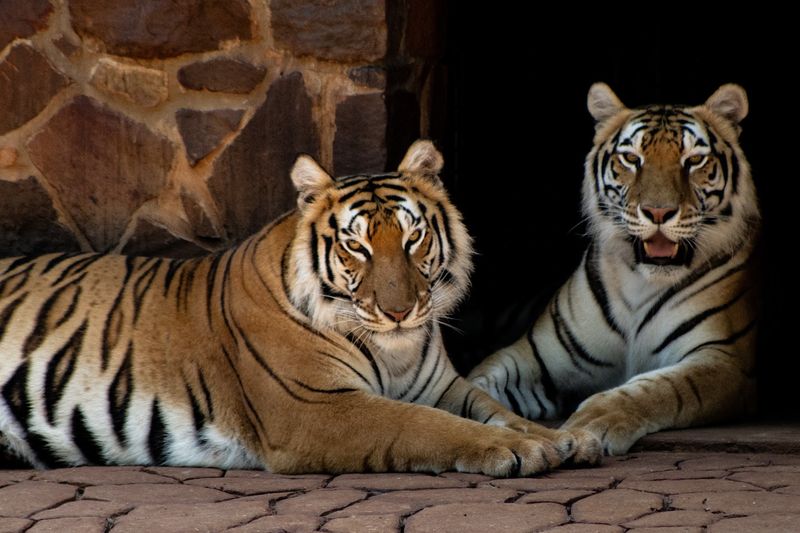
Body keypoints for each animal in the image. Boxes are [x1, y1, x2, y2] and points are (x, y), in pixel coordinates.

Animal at [0, 140, 599, 475]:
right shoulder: (317, 407)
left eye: (412, 239)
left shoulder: (443, 386)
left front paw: (562, 438)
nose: (399, 311)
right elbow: (426, 425)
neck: (396, 350)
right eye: (357, 246)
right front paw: (517, 450)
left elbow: (496, 408)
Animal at [469, 83, 760, 455]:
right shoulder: (533, 357)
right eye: (632, 159)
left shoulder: (723, 359)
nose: (658, 212)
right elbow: (475, 384)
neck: (641, 282)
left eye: (694, 160)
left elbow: (659, 389)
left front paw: (593, 421)